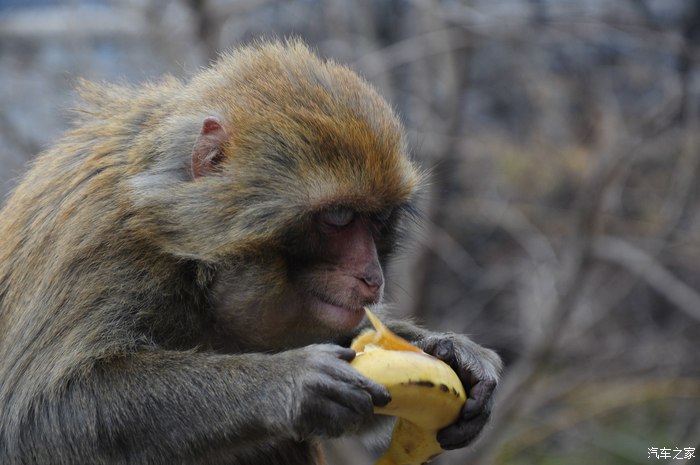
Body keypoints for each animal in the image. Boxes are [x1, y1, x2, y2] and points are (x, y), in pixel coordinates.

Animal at [1, 40, 504, 464]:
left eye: (378, 220)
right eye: (340, 217)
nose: (371, 276)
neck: (191, 260)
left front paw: (451, 353)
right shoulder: (101, 248)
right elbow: (40, 417)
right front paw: (290, 382)